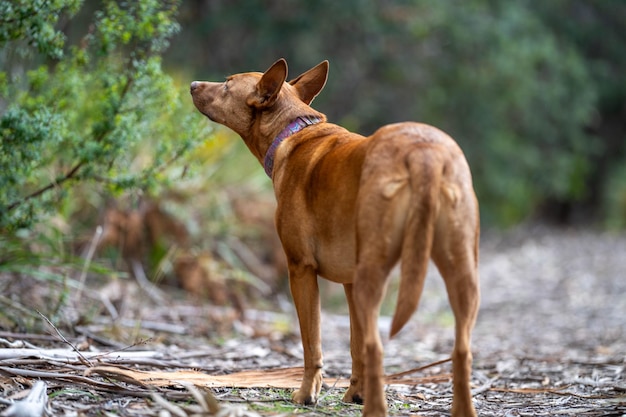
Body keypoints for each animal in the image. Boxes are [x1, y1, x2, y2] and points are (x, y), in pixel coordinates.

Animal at [190, 59, 478, 416]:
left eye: (227, 85)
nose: (191, 85)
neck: (294, 131)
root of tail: (423, 153)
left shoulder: (301, 270)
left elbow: (312, 343)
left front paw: (307, 394)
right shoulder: (350, 282)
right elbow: (355, 347)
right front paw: (355, 393)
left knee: (377, 348)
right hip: (461, 274)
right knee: (460, 351)